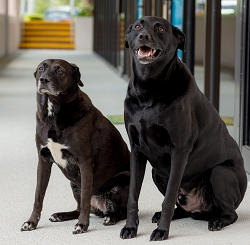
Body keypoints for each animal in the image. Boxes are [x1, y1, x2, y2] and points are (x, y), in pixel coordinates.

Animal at [21, 58, 131, 234]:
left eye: (60, 71)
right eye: (40, 69)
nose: (43, 80)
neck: (53, 115)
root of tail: (99, 207)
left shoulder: (84, 163)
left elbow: (85, 198)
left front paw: (82, 225)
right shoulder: (43, 161)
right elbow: (38, 196)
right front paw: (31, 222)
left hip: (123, 179)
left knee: (121, 211)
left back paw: (111, 218)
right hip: (74, 183)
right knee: (78, 208)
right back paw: (61, 215)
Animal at [120, 15, 247, 241]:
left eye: (160, 28)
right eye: (137, 26)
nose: (143, 36)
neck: (149, 89)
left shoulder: (179, 150)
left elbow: (169, 198)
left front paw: (162, 231)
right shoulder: (136, 150)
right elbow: (133, 196)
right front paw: (130, 227)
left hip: (220, 173)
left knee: (230, 212)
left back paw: (218, 221)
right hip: (157, 173)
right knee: (182, 207)